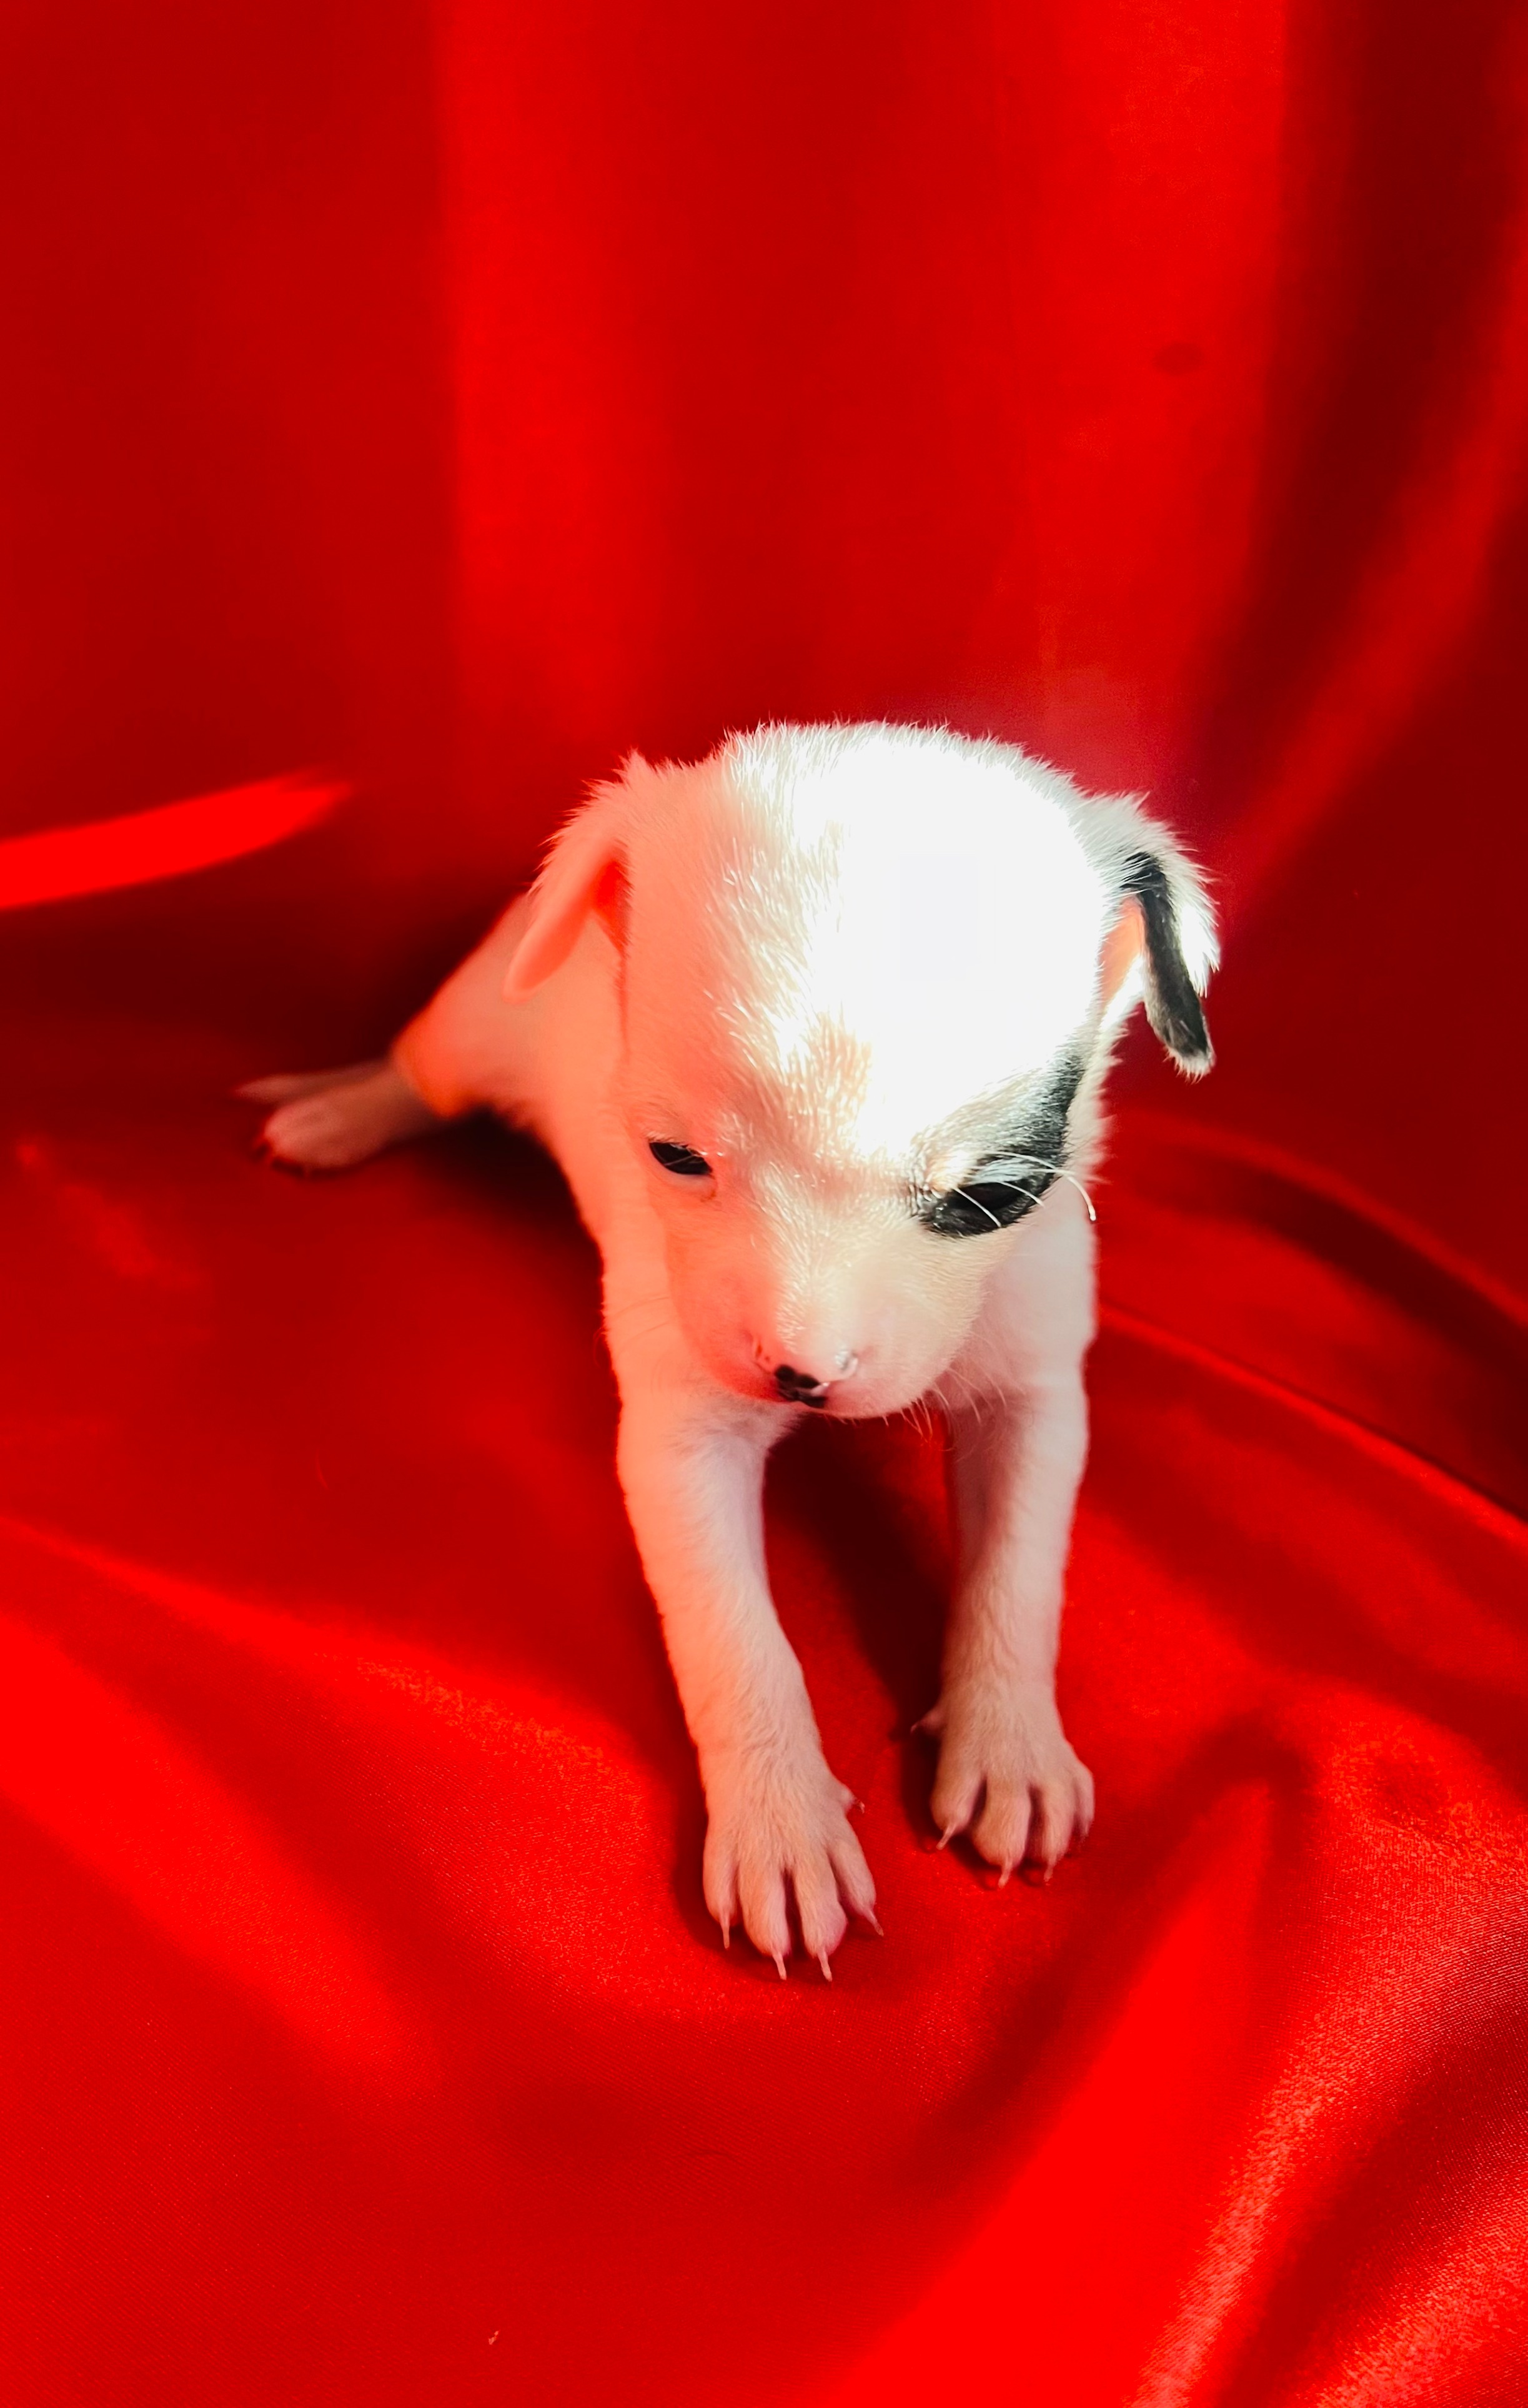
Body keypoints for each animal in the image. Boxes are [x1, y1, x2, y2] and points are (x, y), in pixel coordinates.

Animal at [246, 722, 1216, 1977]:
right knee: (419, 1076)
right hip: (472, 1023)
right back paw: (342, 1107)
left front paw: (1009, 1735)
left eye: (988, 1200)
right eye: (673, 1155)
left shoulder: (1037, 1385)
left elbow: (1020, 1569)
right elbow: (733, 1634)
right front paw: (777, 1812)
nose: (798, 1371)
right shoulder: (681, 1436)